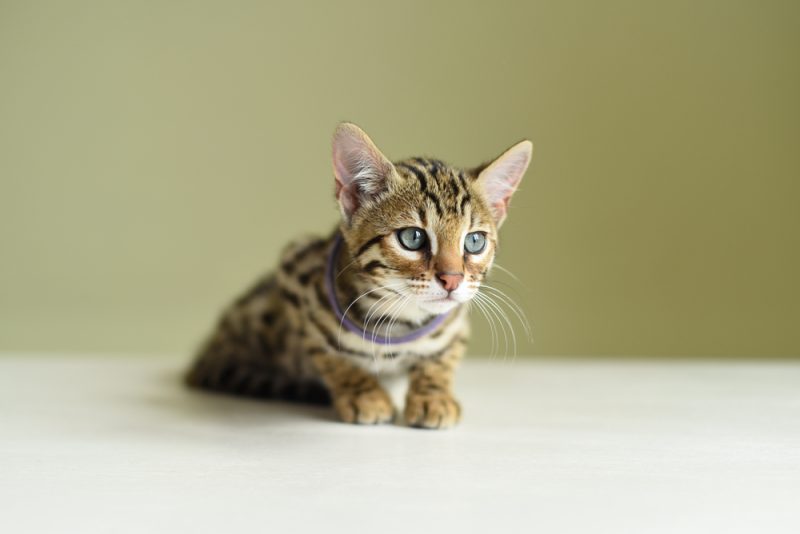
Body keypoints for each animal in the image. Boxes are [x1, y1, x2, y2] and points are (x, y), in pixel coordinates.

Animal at [187, 122, 532, 432]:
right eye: (413, 238)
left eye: (474, 242)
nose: (452, 279)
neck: (399, 318)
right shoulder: (295, 275)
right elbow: (330, 354)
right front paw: (363, 393)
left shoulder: (457, 318)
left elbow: (443, 356)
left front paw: (433, 395)